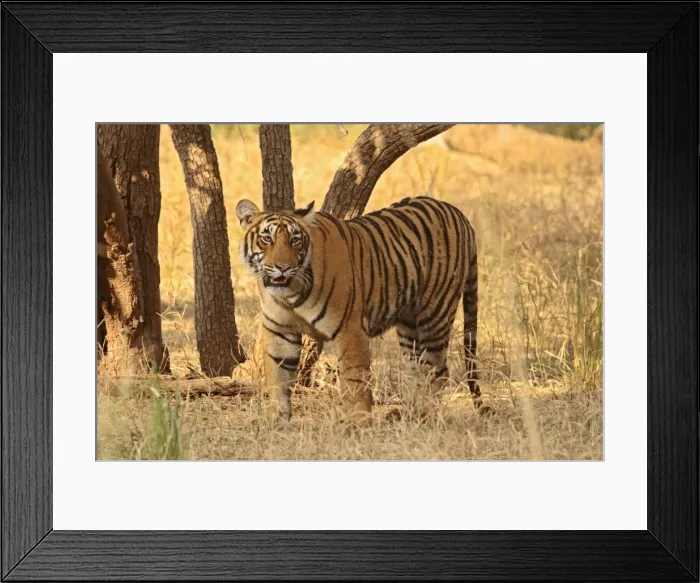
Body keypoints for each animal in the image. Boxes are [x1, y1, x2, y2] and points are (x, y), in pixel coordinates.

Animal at [236, 195, 487, 423]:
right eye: (266, 239)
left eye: (295, 240)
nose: (283, 267)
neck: (290, 293)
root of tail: (459, 213)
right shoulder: (279, 331)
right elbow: (278, 379)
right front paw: (276, 422)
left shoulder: (350, 330)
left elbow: (354, 381)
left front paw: (358, 424)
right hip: (409, 325)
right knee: (417, 369)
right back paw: (408, 416)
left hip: (435, 313)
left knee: (437, 370)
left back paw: (424, 417)